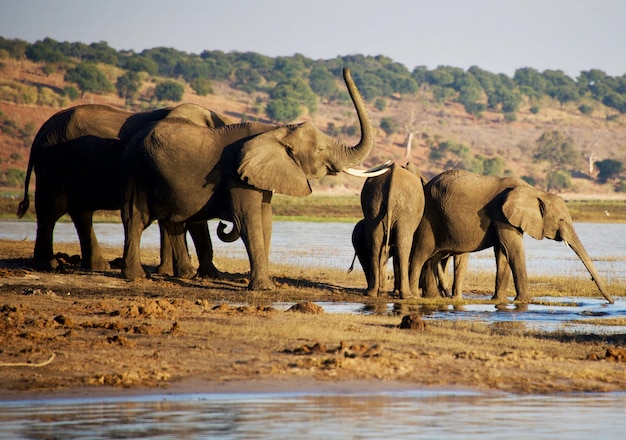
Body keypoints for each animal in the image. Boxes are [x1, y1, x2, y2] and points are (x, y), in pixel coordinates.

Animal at [119, 68, 388, 288]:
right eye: (320, 149)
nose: (345, 68)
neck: (277, 131)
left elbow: (265, 218)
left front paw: (264, 283)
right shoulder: (236, 175)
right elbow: (247, 218)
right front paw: (264, 288)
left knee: (171, 219)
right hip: (136, 168)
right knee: (136, 216)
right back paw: (136, 276)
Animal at [408, 170, 612, 304]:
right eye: (561, 220)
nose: (610, 302)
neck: (535, 191)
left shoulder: (507, 217)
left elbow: (503, 252)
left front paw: (498, 300)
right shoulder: (501, 213)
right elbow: (513, 249)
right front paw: (525, 301)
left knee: (432, 258)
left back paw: (432, 297)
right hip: (428, 215)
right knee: (421, 253)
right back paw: (414, 296)